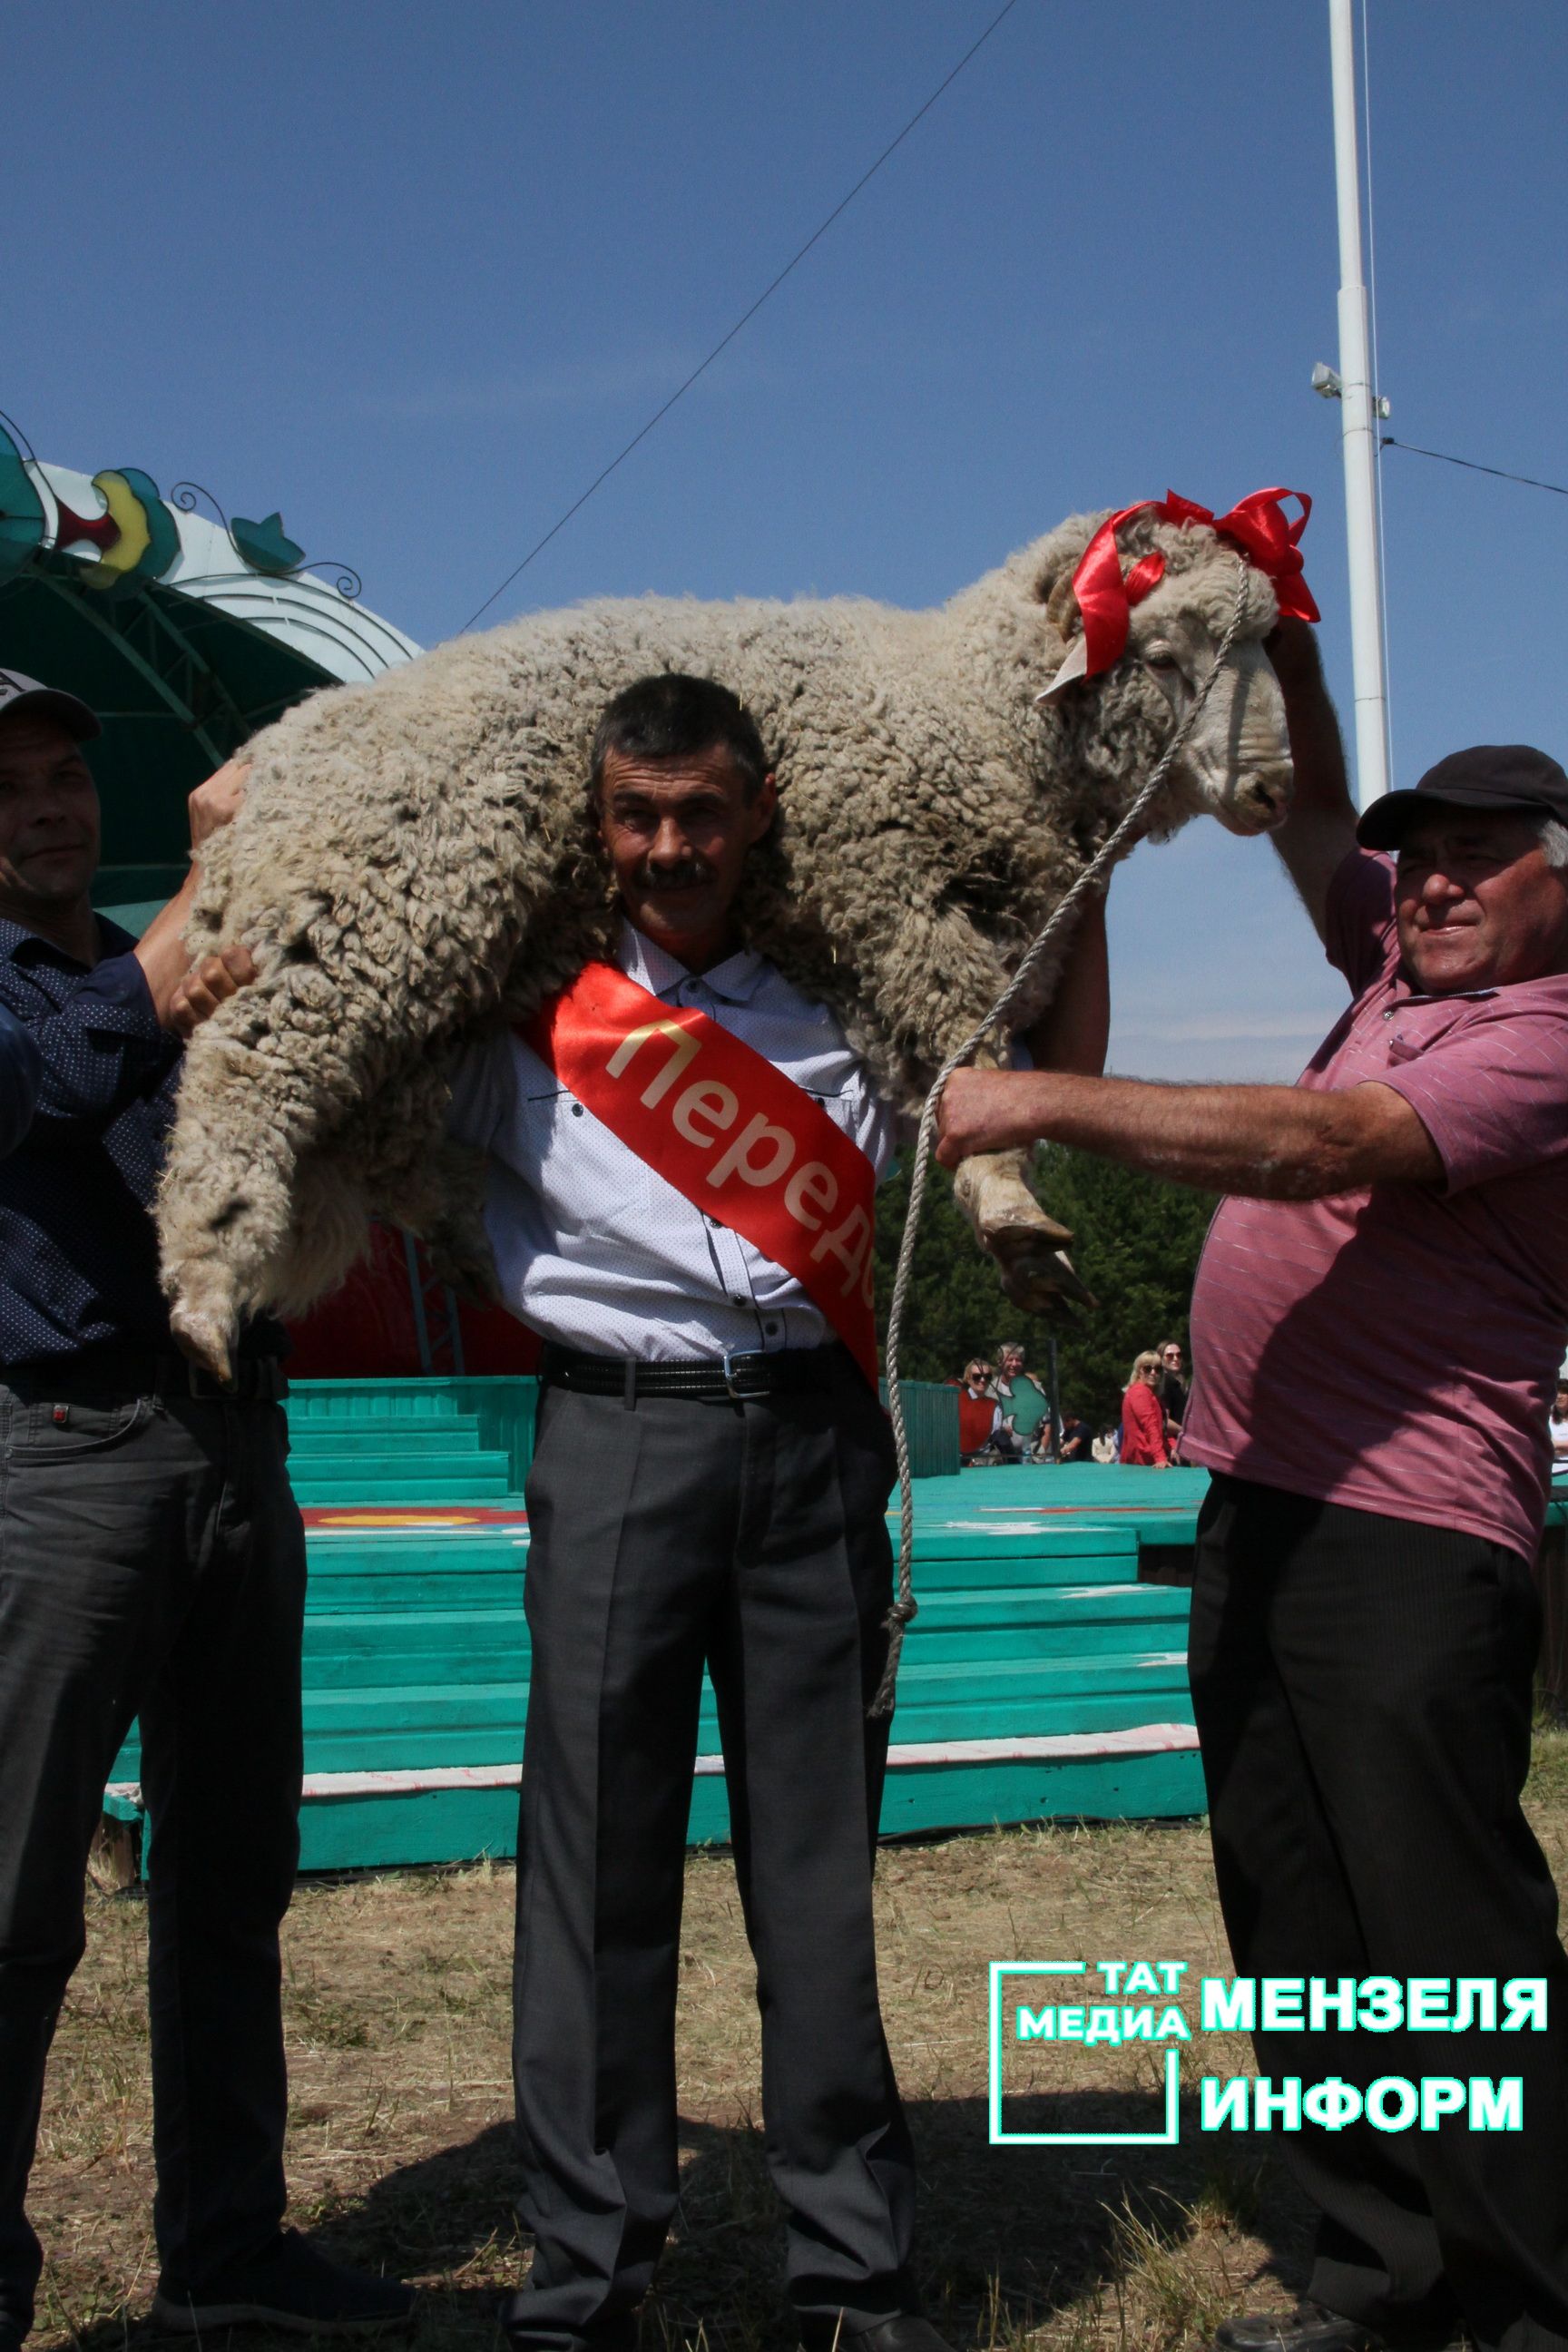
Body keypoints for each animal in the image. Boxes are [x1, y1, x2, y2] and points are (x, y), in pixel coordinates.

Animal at [160, 501, 1298, 1373]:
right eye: (1163, 655)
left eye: (1262, 643)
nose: (1274, 788)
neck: (968, 714)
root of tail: (270, 758)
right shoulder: (897, 894)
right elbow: (966, 1053)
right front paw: (1013, 1207)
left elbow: (960, 1081)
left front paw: (1010, 1227)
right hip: (363, 916)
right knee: (242, 1078)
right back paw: (209, 1282)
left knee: (384, 1135)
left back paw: (464, 1239)